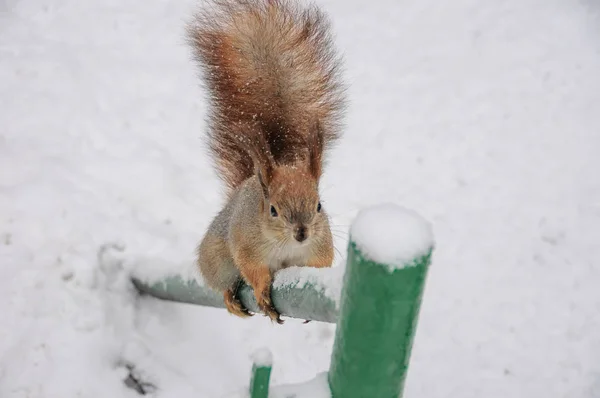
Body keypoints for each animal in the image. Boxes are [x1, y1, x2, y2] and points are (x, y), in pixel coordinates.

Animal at [188, 0, 346, 324]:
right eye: (273, 209)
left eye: (319, 206)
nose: (302, 233)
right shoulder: (247, 242)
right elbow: (253, 269)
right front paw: (262, 291)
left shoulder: (321, 245)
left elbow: (318, 265)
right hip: (216, 258)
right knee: (224, 280)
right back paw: (231, 298)